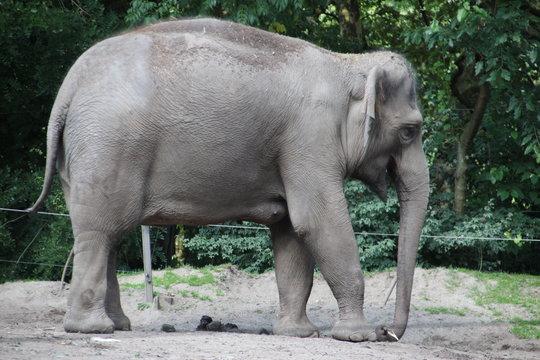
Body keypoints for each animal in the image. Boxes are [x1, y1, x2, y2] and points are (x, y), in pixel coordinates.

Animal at [29, 18, 428, 342]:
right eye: (410, 131)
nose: (388, 331)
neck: (347, 63)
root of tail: (68, 87)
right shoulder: (309, 138)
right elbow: (317, 222)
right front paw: (357, 337)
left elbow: (290, 233)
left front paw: (299, 333)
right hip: (108, 145)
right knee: (100, 232)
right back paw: (91, 329)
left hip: (83, 154)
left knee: (108, 235)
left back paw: (119, 326)